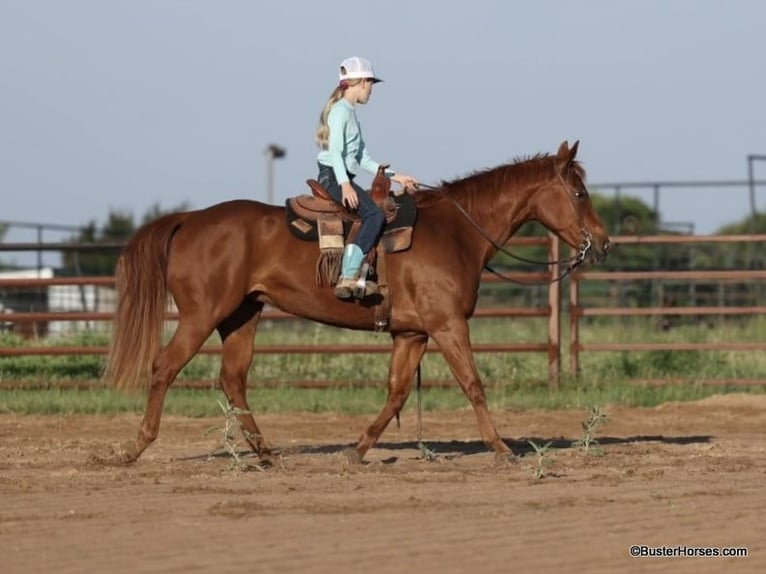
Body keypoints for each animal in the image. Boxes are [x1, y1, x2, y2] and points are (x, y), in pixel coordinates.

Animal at [105, 141, 616, 468]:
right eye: (579, 193)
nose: (604, 243)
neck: (458, 232)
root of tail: (190, 219)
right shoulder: (447, 325)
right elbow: (473, 384)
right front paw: (503, 450)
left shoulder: (412, 334)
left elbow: (396, 393)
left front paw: (358, 450)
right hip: (200, 315)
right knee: (164, 368)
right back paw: (134, 448)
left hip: (242, 316)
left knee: (233, 380)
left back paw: (266, 454)